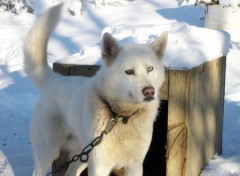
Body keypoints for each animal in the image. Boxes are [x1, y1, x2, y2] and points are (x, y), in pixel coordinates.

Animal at [23, 3, 167, 176]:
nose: (149, 91)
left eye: (150, 69)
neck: (121, 116)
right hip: (48, 153)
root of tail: (54, 80)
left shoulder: (135, 165)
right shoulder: (100, 166)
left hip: (83, 154)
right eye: (129, 72)